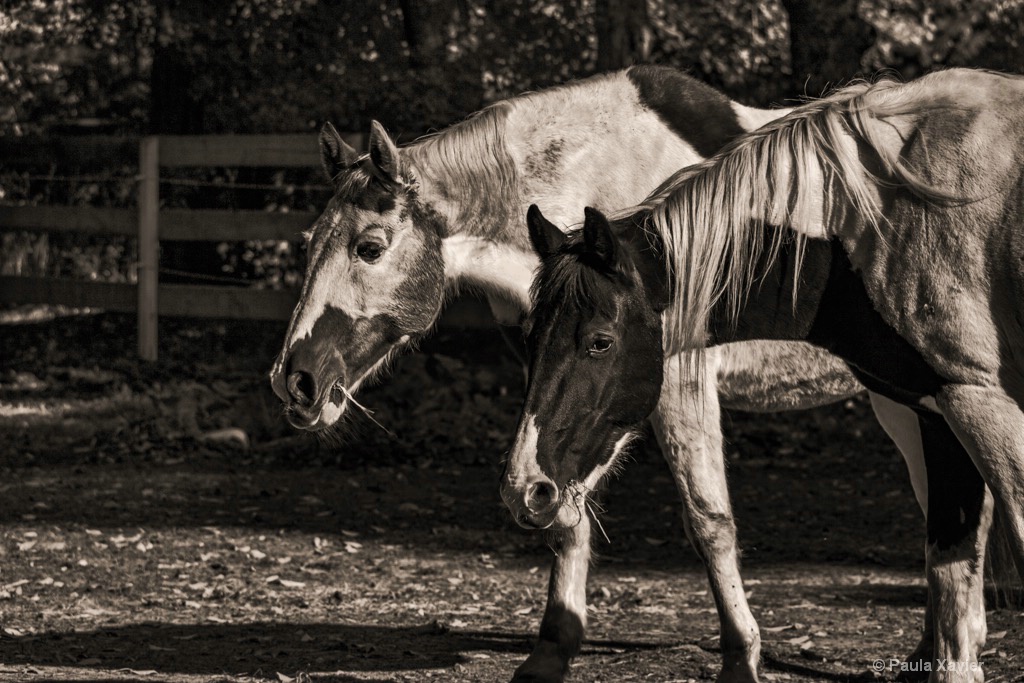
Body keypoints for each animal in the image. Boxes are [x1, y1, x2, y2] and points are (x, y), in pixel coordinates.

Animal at [270, 65, 942, 683]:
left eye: (370, 247)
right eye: (307, 243)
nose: (293, 380)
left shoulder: (677, 385)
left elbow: (708, 520)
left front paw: (741, 658)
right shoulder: (565, 394)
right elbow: (564, 514)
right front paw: (550, 651)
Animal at [503, 69, 1024, 683]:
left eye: (599, 342)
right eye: (528, 336)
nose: (524, 489)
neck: (879, 223)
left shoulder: (980, 404)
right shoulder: (936, 415)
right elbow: (951, 573)